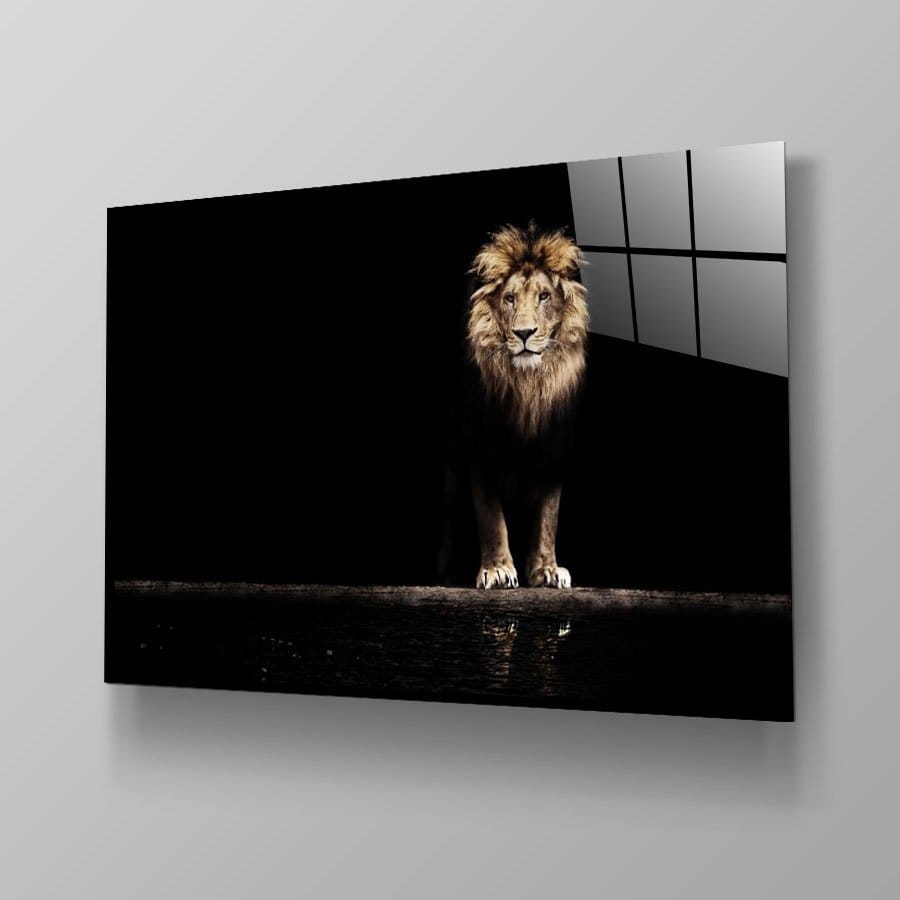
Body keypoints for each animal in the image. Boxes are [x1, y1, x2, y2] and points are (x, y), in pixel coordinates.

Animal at [465, 223, 589, 589]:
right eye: (509, 299)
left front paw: (547, 570)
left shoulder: (554, 447)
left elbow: (548, 516)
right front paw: (497, 570)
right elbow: (490, 515)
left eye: (544, 296)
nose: (523, 333)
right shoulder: (479, 444)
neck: (527, 387)